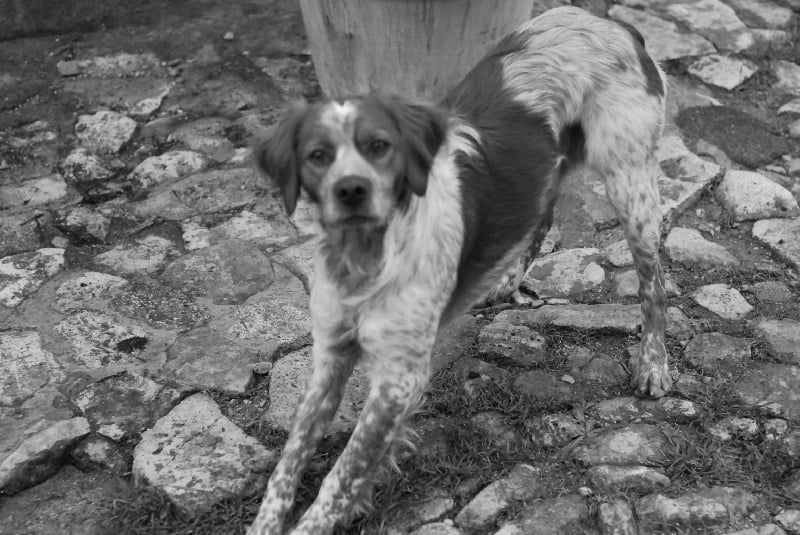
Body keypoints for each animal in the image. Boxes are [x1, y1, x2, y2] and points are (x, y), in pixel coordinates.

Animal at [249, 6, 669, 534]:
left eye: (380, 146)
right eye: (317, 155)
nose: (351, 191)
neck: (366, 259)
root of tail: (610, 20)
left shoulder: (401, 379)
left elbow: (342, 475)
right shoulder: (329, 355)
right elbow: (289, 464)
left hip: (629, 184)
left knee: (654, 285)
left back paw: (654, 365)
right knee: (542, 213)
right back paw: (506, 280)